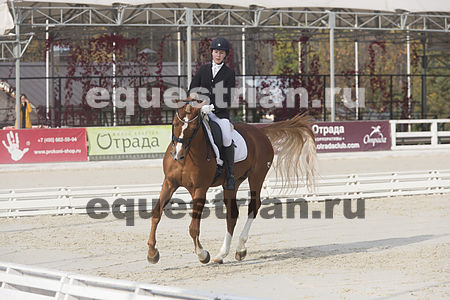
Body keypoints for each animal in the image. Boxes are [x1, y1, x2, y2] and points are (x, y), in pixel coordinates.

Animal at [148, 99, 316, 264]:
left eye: (194, 126)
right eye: (175, 123)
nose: (178, 154)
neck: (189, 154)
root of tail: (260, 132)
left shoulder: (200, 189)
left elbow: (193, 227)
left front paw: (202, 254)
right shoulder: (169, 183)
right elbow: (156, 213)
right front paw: (152, 252)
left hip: (257, 176)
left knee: (253, 206)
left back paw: (239, 248)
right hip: (233, 183)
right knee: (232, 214)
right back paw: (222, 254)